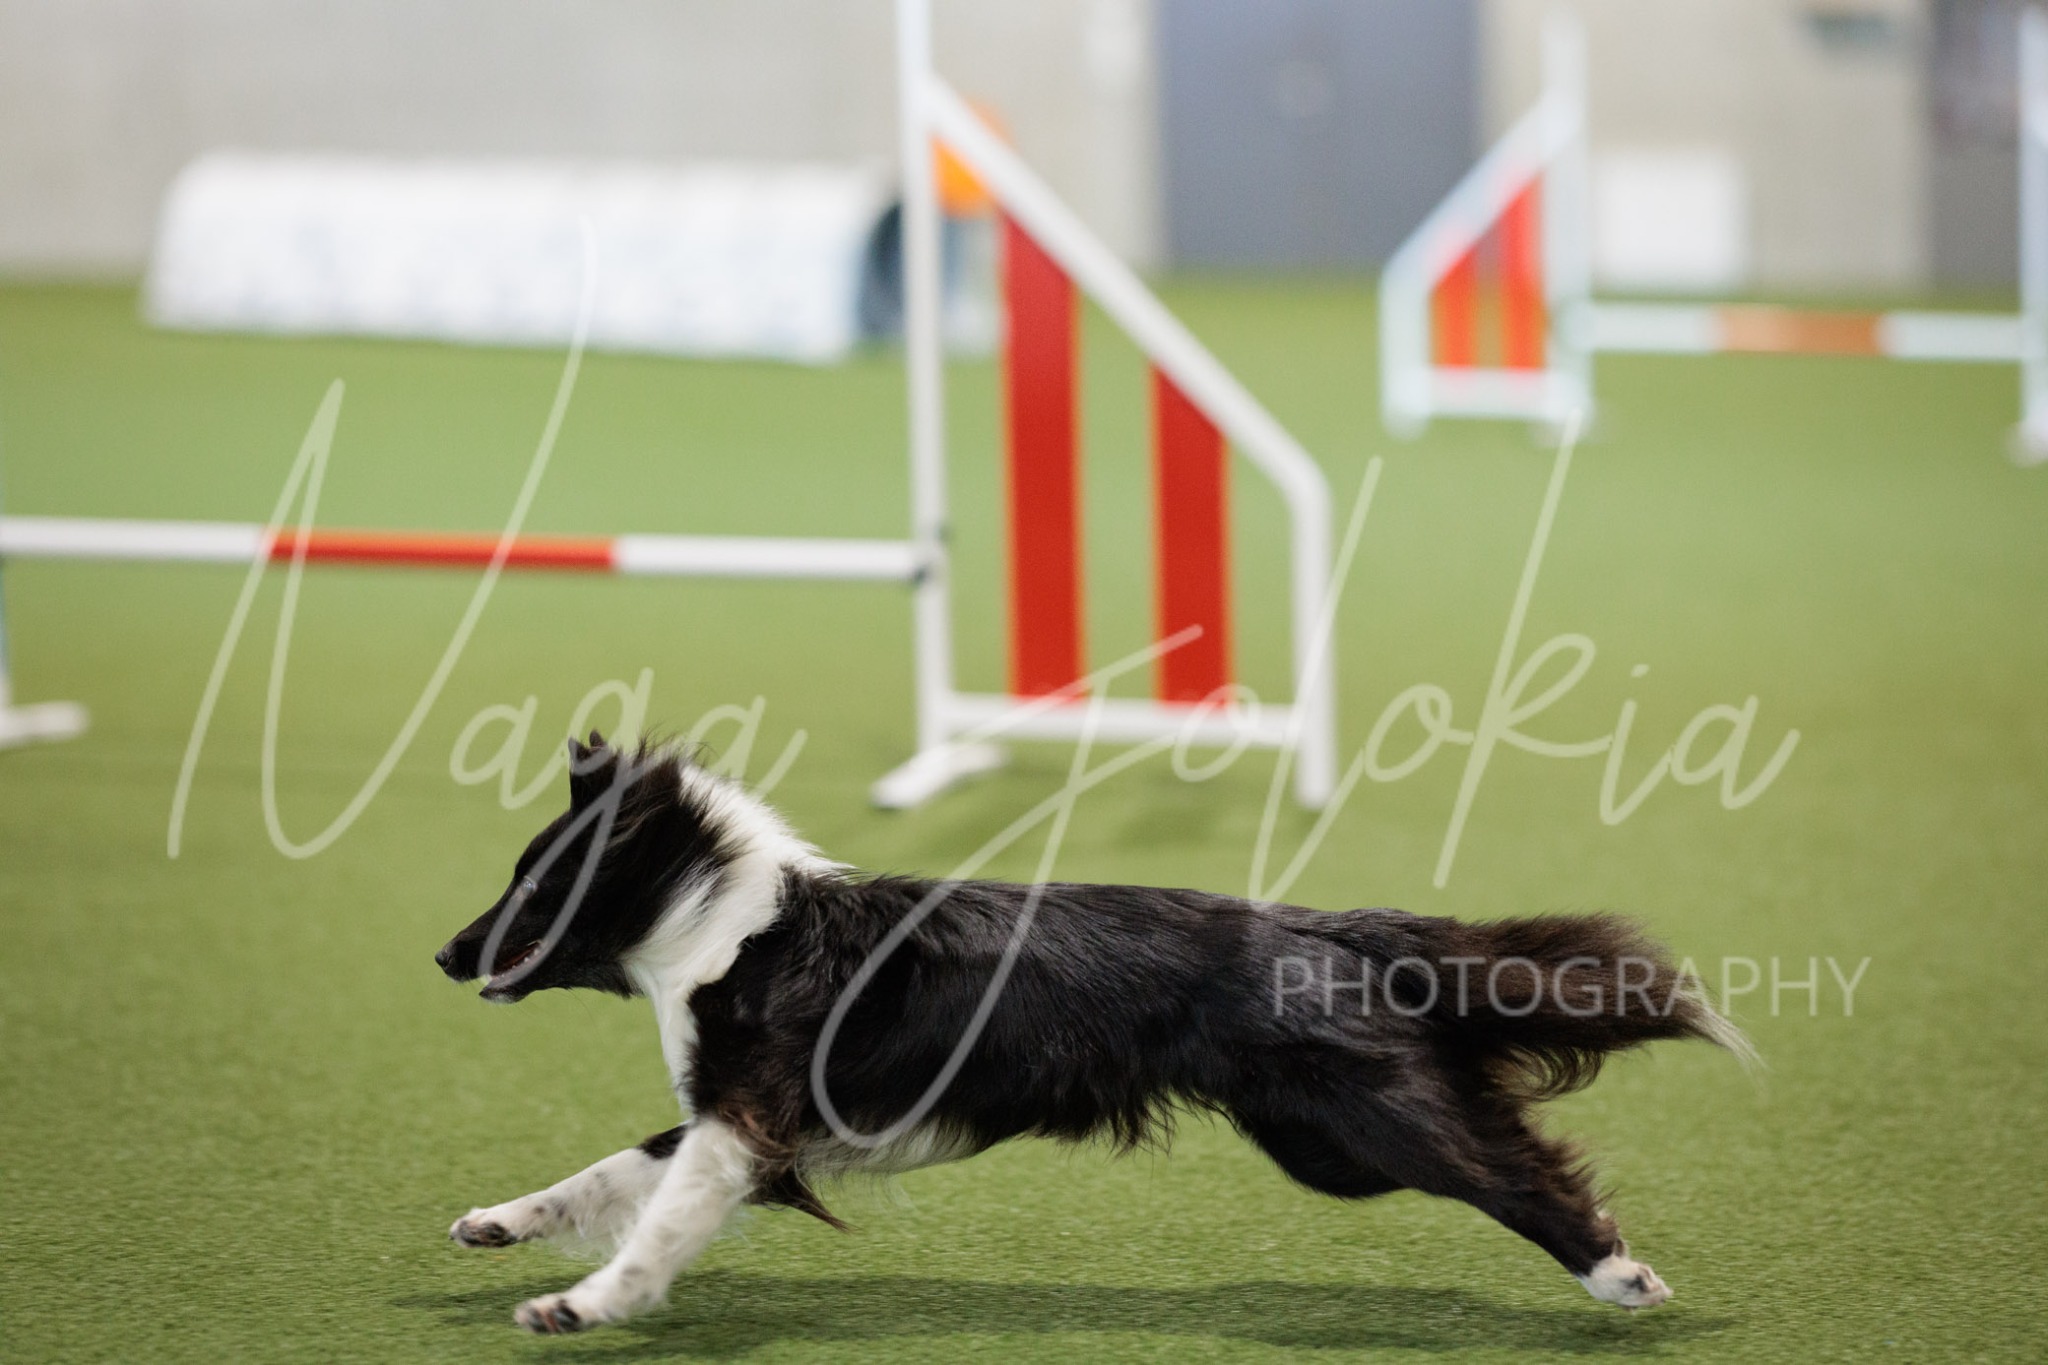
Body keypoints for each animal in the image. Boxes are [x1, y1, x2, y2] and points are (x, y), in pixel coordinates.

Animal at [435, 735, 1749, 1334]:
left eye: (534, 886)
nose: (445, 954)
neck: (725, 922)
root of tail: (1316, 922)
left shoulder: (749, 1119)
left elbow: (656, 1223)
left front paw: (580, 1308)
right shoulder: (746, 1124)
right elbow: (603, 1174)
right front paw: (497, 1225)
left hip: (1369, 1126)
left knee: (1518, 1169)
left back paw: (1621, 1277)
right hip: (1323, 1145)